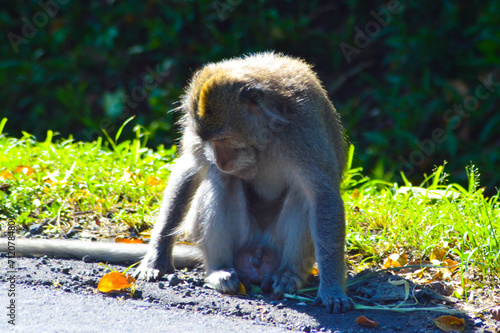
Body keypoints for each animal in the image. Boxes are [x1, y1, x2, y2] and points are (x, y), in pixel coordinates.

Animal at [133, 52, 352, 312]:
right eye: (208, 141)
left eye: (225, 139)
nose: (220, 159)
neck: (267, 135)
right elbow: (190, 169)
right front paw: (157, 258)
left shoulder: (304, 131)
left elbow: (323, 196)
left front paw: (332, 289)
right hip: (241, 240)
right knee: (220, 177)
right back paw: (219, 271)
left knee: (302, 195)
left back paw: (288, 275)